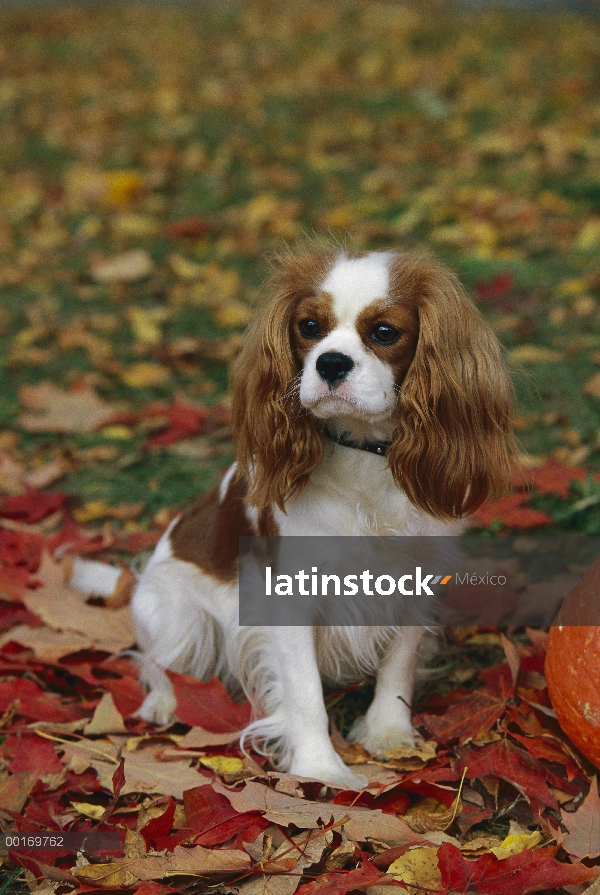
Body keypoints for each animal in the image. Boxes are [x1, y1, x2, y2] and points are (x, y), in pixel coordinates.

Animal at [130, 242, 510, 788]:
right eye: (308, 326)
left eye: (384, 332)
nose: (330, 363)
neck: (362, 454)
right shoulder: (289, 597)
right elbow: (305, 691)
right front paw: (321, 771)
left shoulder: (412, 578)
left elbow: (399, 664)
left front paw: (388, 734)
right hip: (174, 614)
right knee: (156, 662)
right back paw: (161, 705)